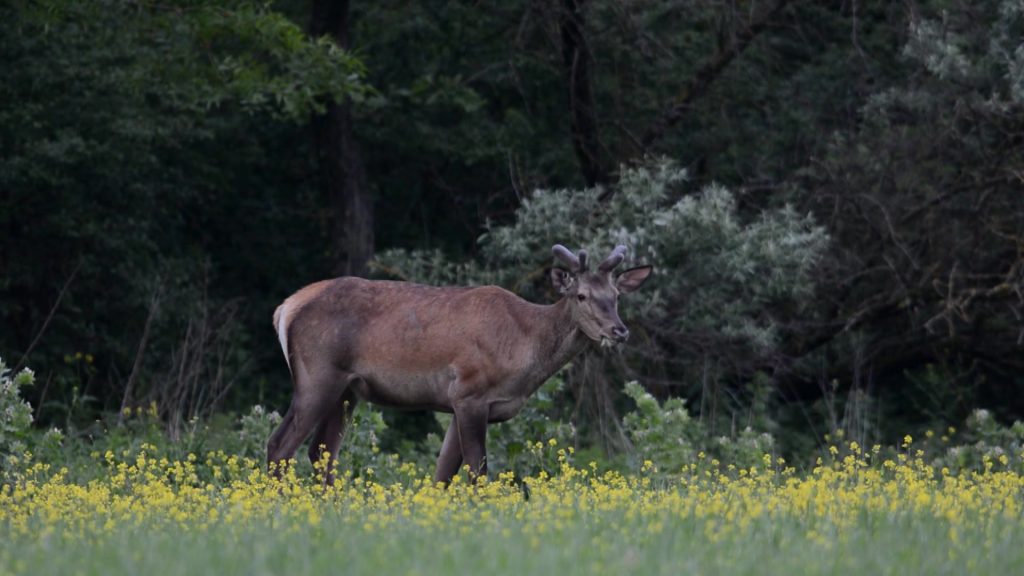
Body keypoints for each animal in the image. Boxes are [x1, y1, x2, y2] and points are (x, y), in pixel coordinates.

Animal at [268, 239, 651, 481]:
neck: (523, 350)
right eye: (582, 295)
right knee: (280, 444)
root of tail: (285, 308)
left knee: (321, 452)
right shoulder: (469, 392)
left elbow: (443, 474)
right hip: (317, 375)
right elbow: (476, 471)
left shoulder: (457, 403)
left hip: (348, 390)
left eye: (616, 295)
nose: (619, 331)